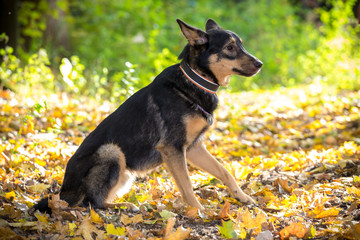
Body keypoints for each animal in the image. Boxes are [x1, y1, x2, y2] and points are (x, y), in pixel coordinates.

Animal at [33, 18, 262, 213]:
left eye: (241, 45)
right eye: (229, 48)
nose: (260, 64)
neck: (195, 80)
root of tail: (63, 194)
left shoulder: (194, 148)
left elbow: (225, 172)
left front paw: (242, 197)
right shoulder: (173, 149)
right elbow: (187, 185)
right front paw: (198, 211)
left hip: (126, 174)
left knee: (95, 201)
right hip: (112, 152)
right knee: (91, 203)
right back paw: (125, 206)